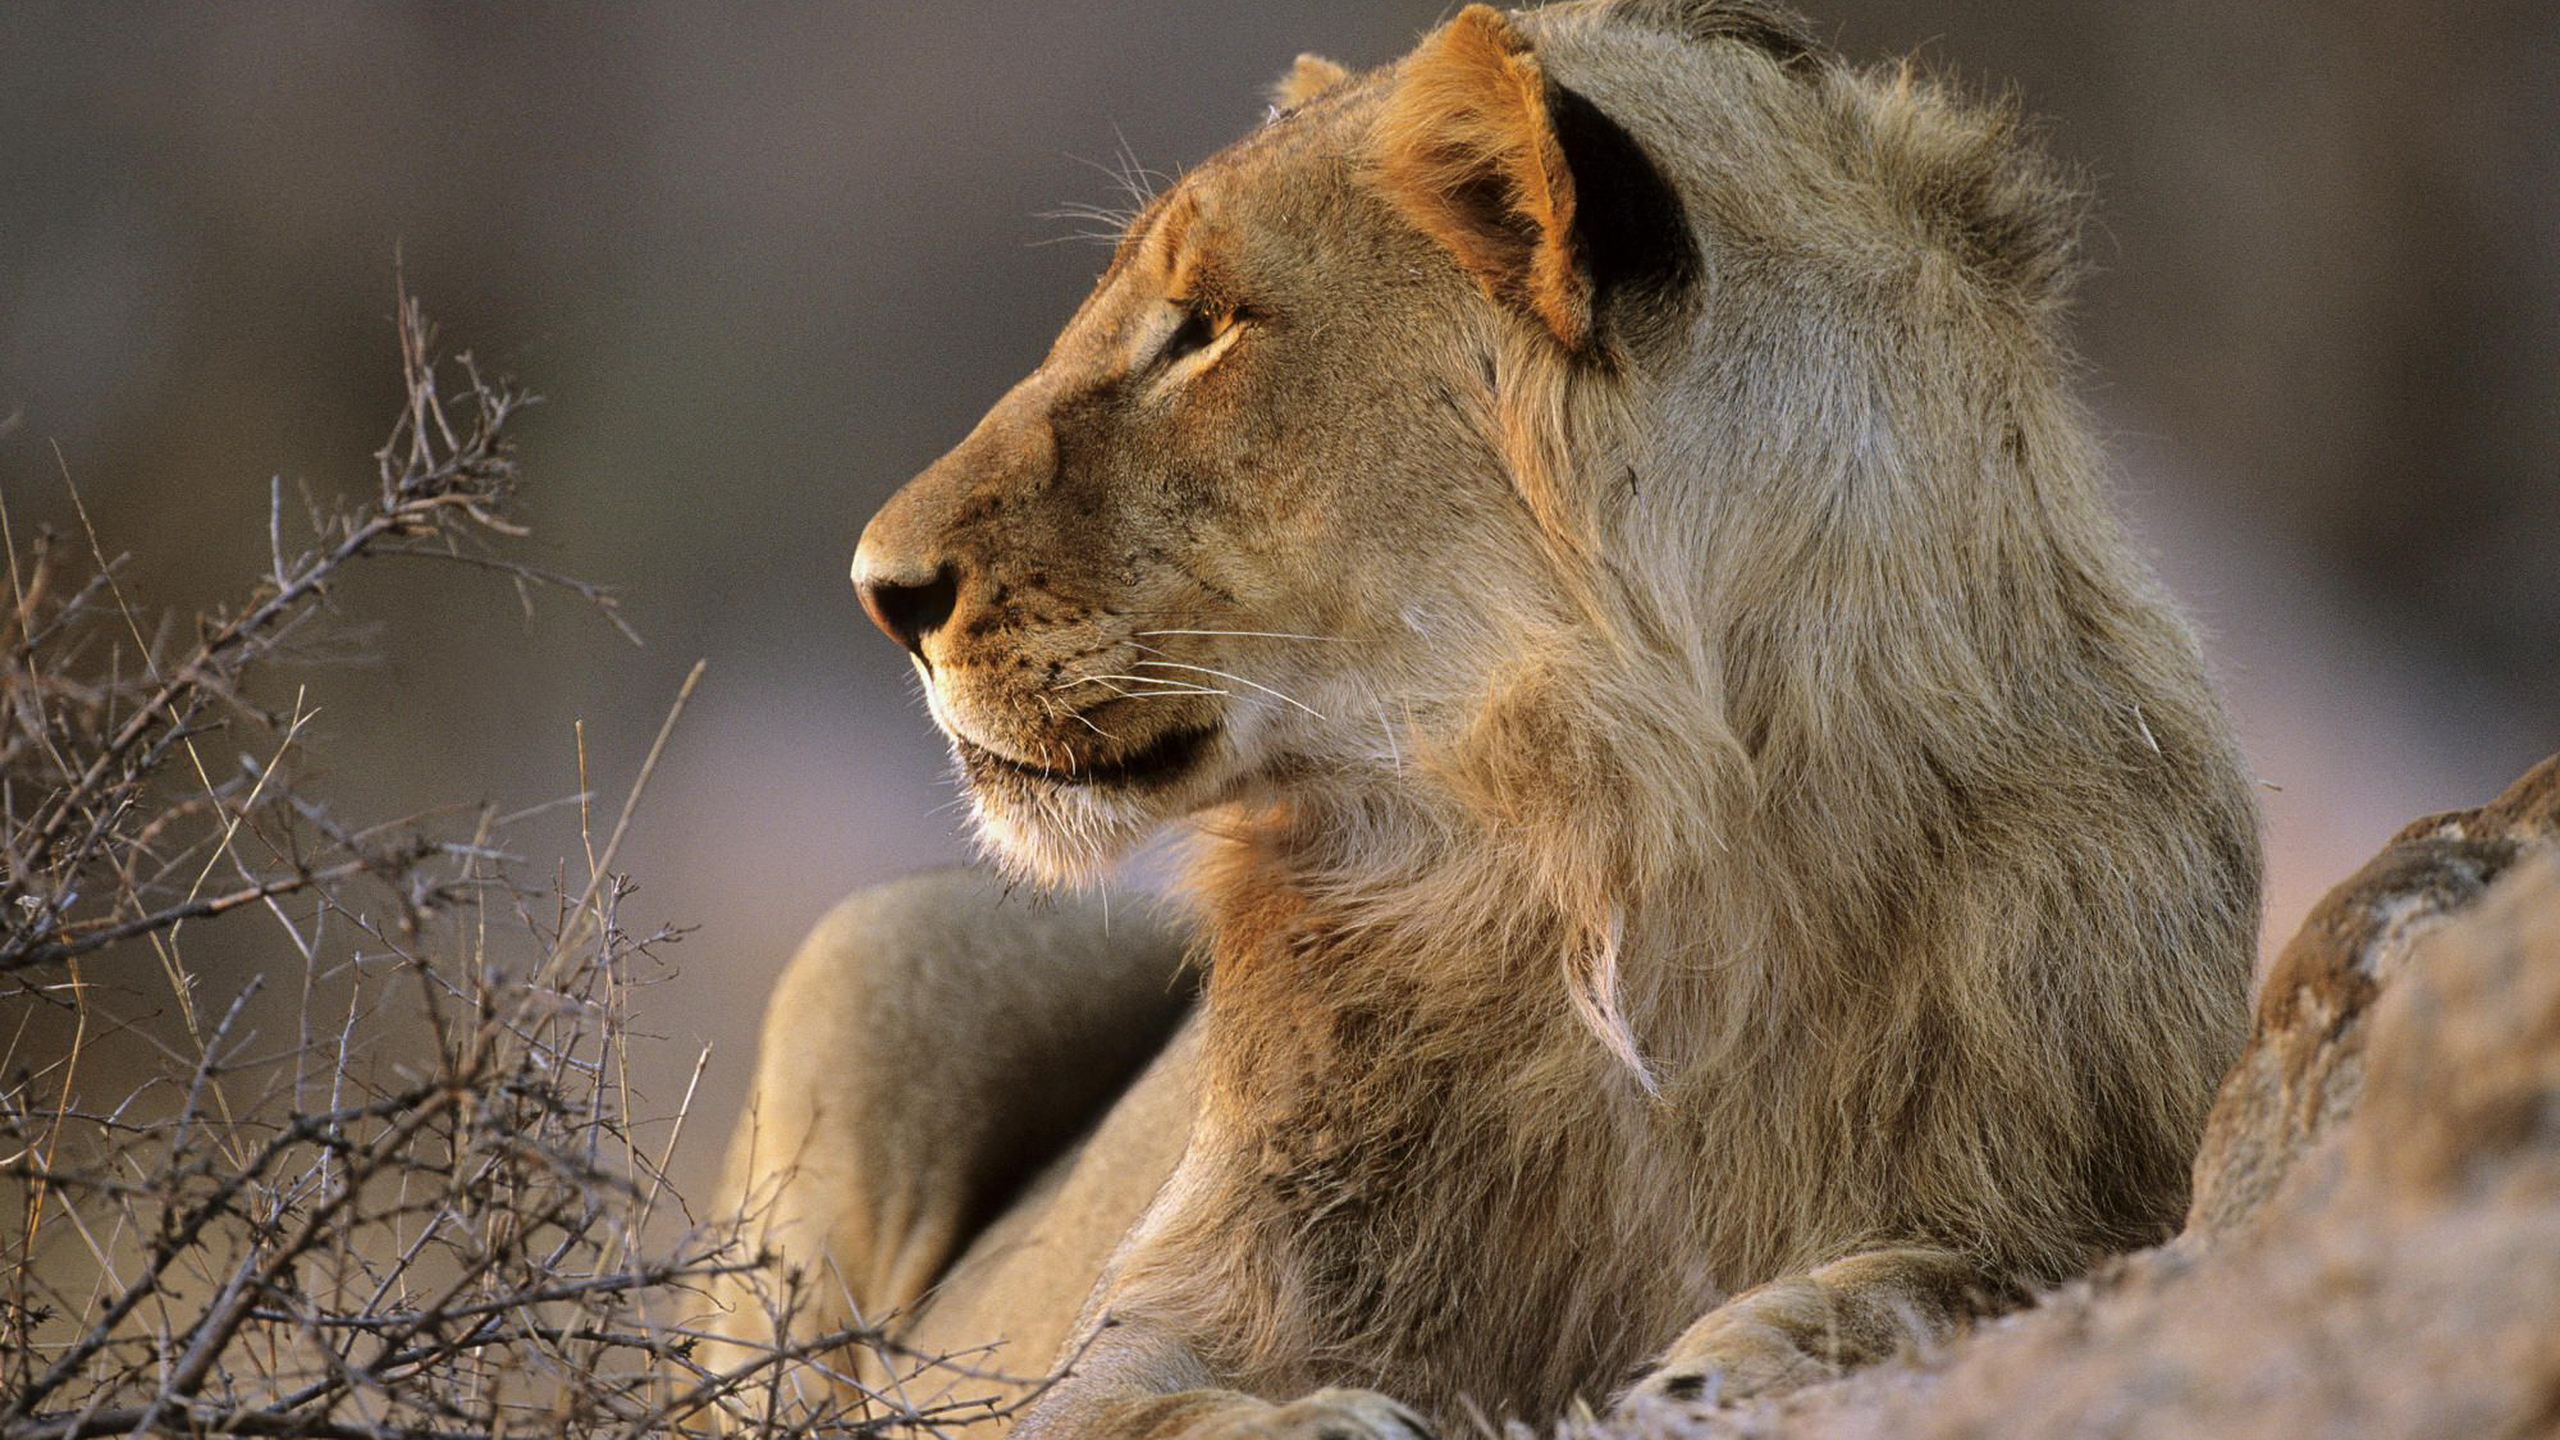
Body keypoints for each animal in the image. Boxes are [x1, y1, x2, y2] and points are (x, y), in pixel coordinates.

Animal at [701, 5, 2263, 1424]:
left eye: (1203, 330)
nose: (880, 591)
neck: (1609, 846)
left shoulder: (2112, 1174)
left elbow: (1975, 1271)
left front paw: (1734, 1355)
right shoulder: (1168, 1309)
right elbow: (1131, 1403)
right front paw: (1327, 1416)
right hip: (880, 947)